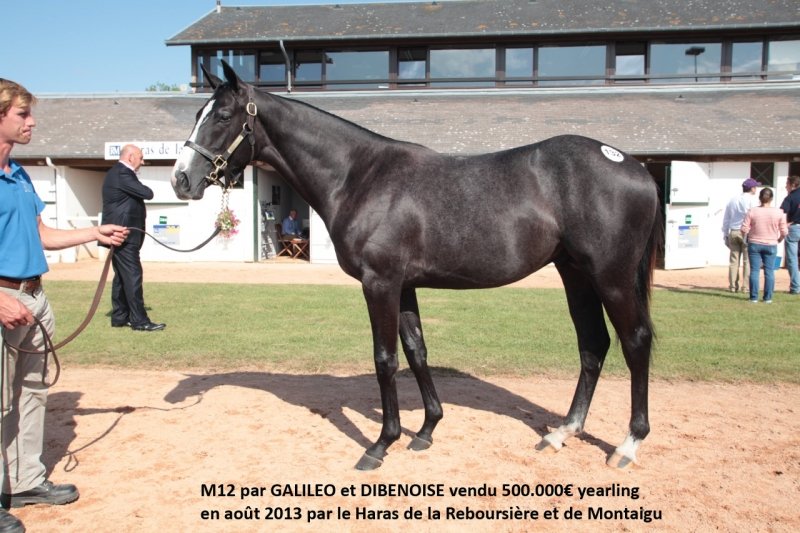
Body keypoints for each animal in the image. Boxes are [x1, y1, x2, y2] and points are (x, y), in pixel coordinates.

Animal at [171, 61, 663, 470]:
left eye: (221, 116)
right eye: (199, 112)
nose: (180, 179)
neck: (360, 176)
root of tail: (635, 167)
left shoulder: (380, 283)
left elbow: (385, 359)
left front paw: (379, 444)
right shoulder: (404, 285)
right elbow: (416, 351)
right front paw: (426, 430)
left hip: (611, 278)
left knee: (634, 342)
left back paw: (628, 444)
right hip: (575, 274)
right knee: (593, 345)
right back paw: (562, 432)